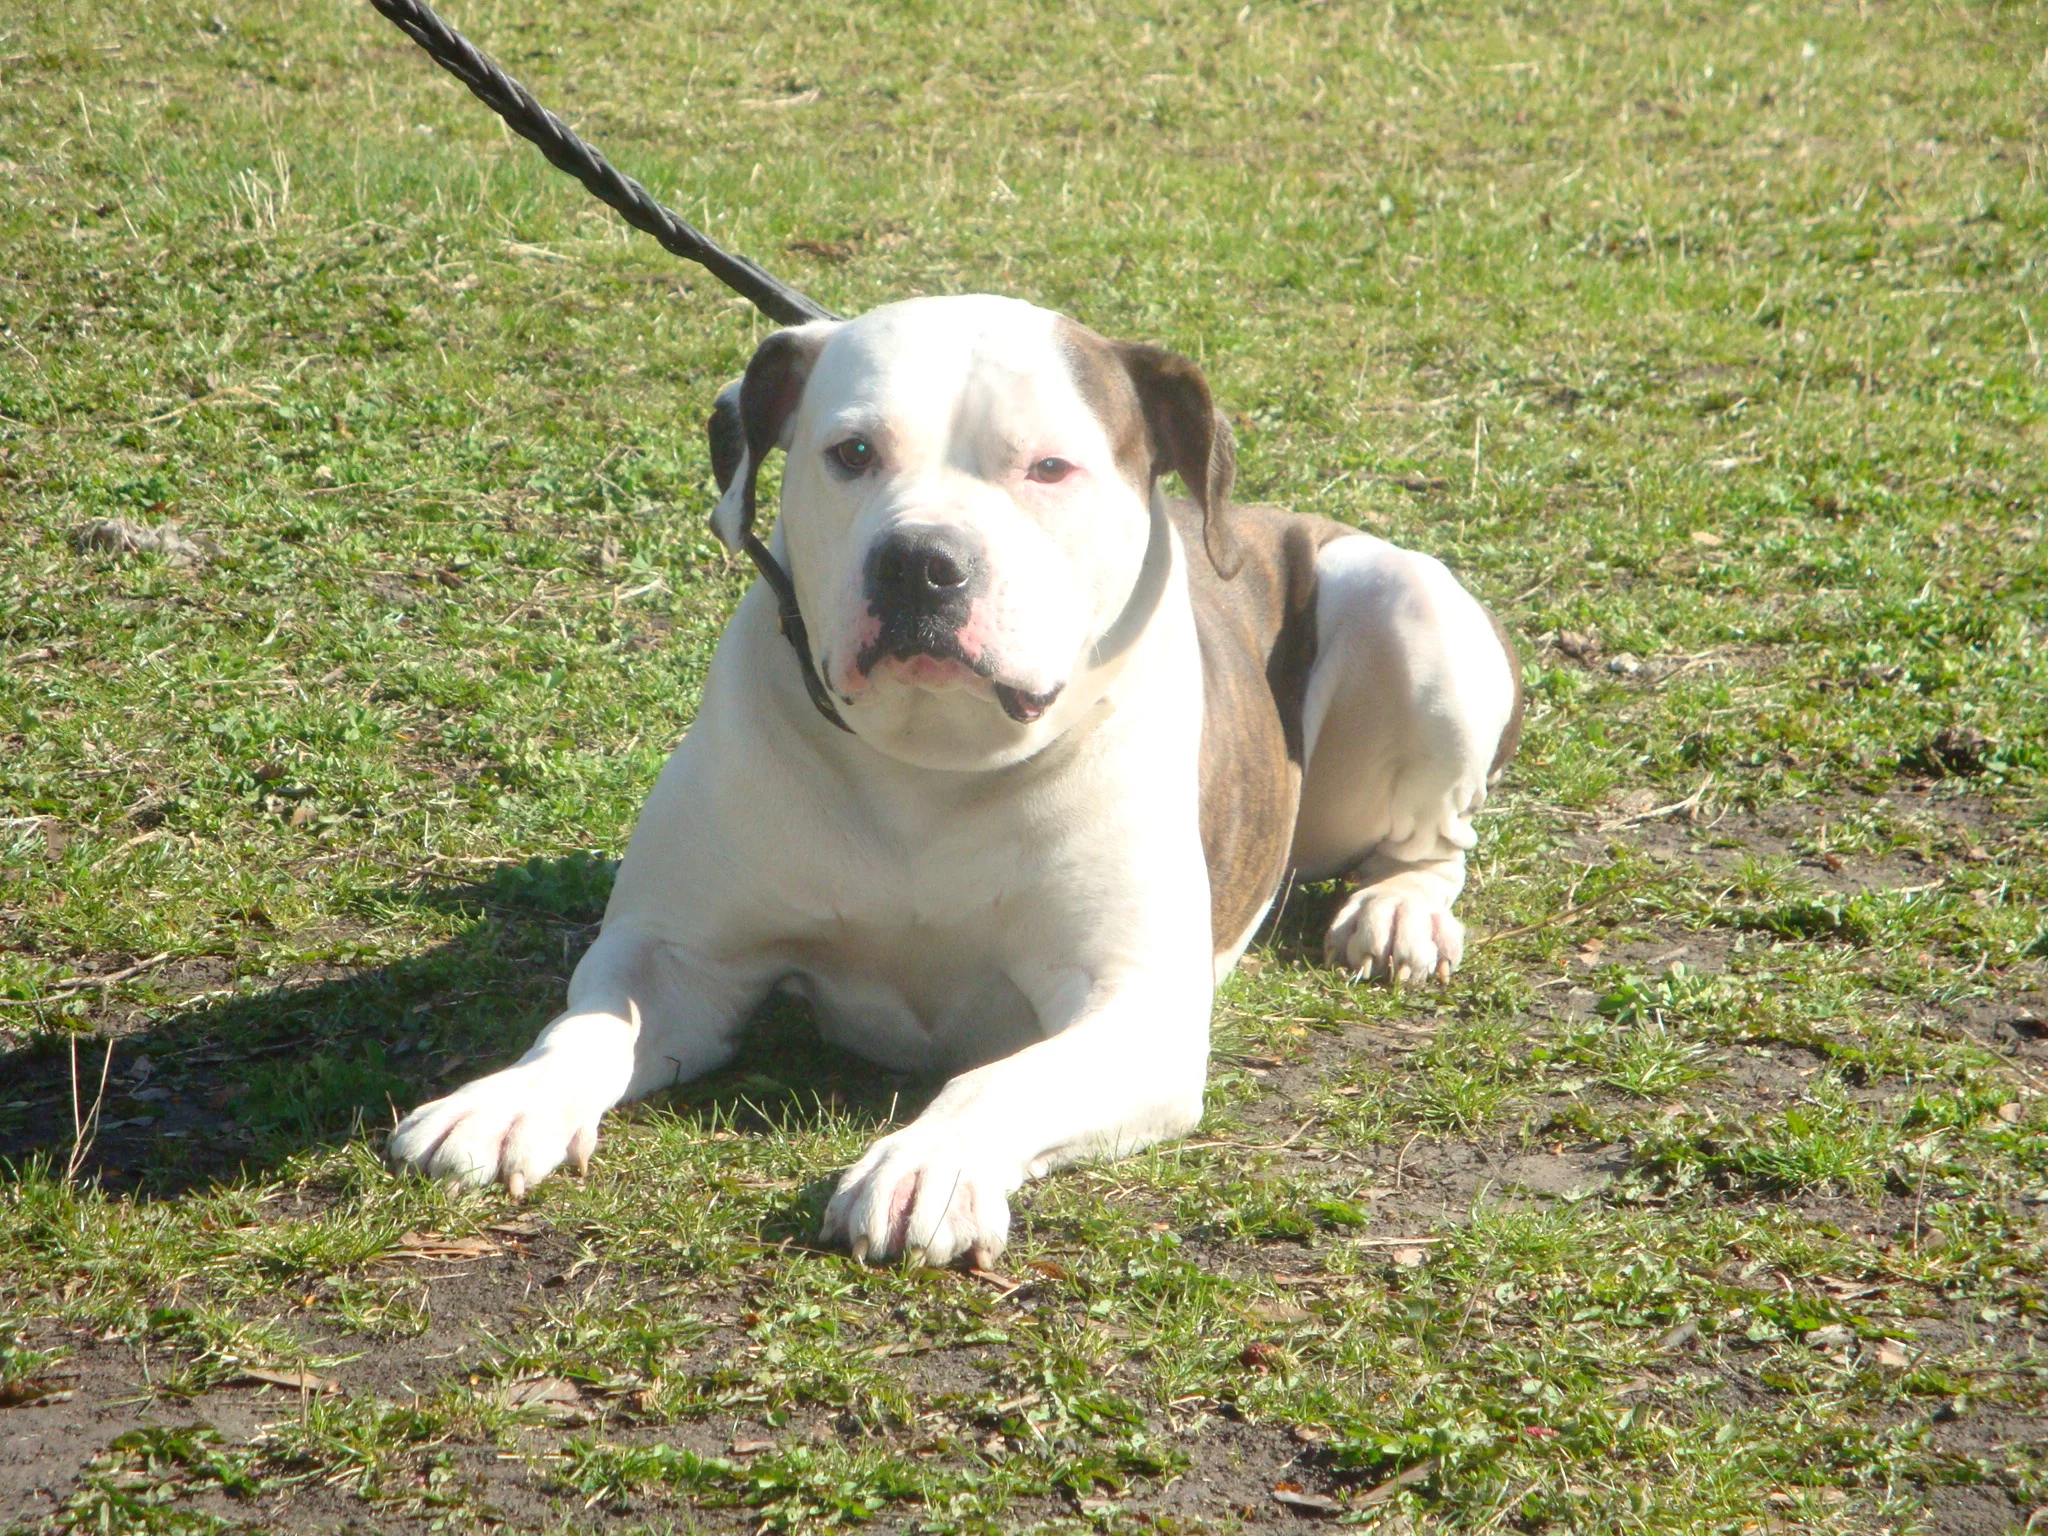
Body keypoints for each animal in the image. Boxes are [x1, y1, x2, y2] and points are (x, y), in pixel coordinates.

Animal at [386, 294, 1523, 1268]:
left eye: (1050, 468)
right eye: (850, 454)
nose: (920, 562)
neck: (931, 766)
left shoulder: (1136, 1006)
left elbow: (997, 1081)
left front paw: (927, 1162)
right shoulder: (678, 956)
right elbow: (589, 1024)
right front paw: (511, 1100)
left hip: (1405, 599)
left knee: (1436, 841)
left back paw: (1399, 913)